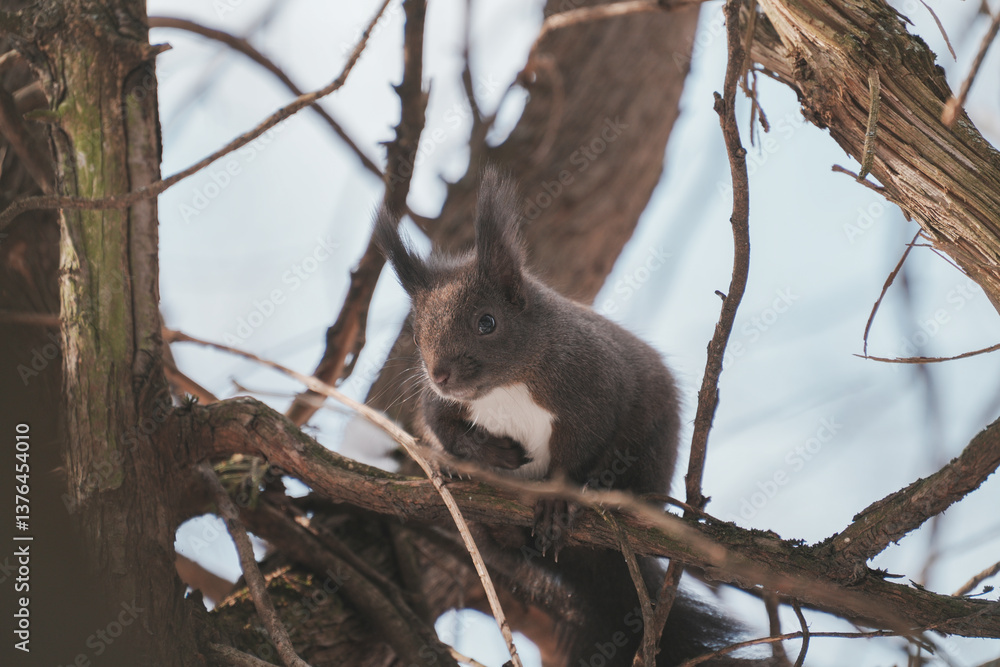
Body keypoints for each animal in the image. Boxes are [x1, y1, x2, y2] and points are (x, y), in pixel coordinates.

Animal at [374, 167, 734, 666]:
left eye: (487, 322)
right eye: (415, 331)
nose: (440, 373)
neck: (507, 385)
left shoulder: (592, 390)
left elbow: (580, 448)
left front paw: (557, 499)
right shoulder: (438, 403)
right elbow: (445, 428)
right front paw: (486, 455)